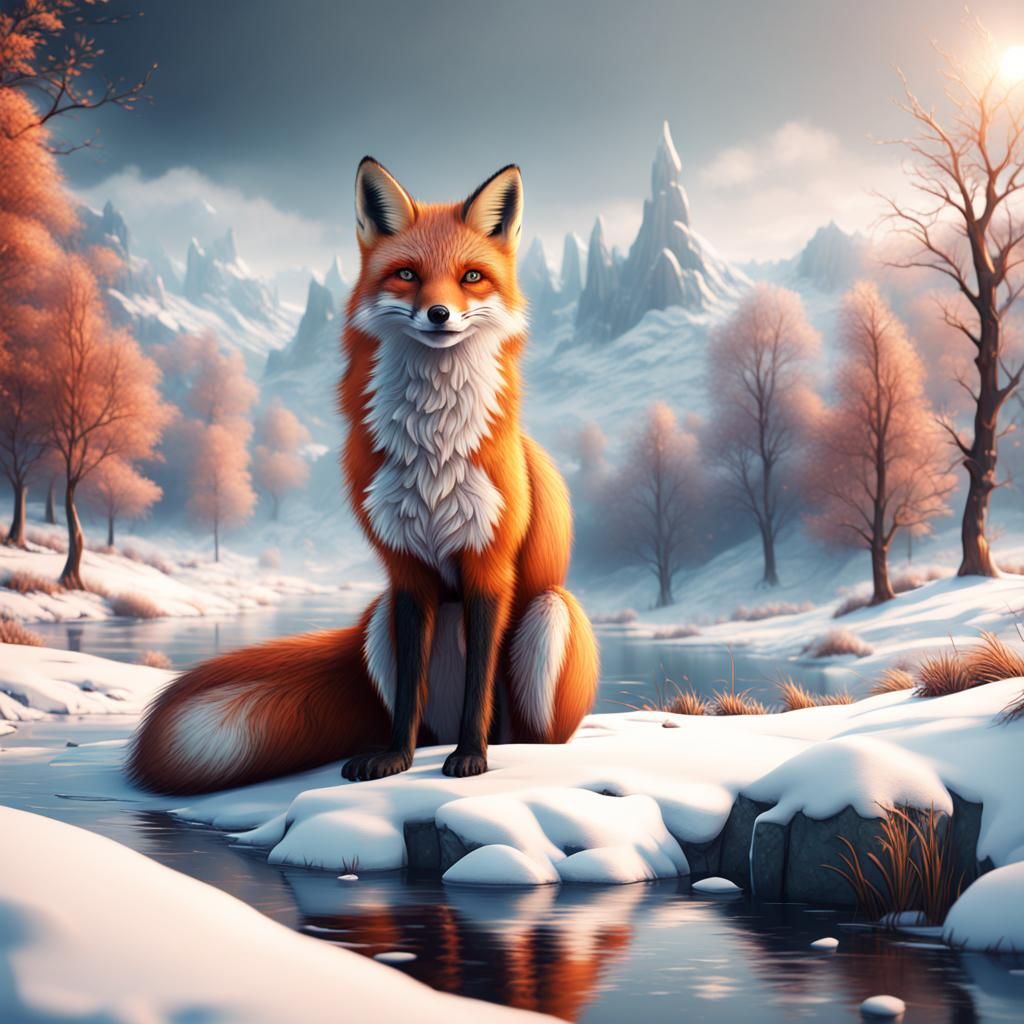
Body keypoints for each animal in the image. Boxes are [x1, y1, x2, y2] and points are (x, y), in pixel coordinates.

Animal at [128, 158, 599, 794]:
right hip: (378, 620)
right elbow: (406, 693)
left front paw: (472, 759)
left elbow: (481, 686)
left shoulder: (489, 567)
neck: (433, 452)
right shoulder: (406, 572)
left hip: (550, 610)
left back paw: (503, 749)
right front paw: (395, 759)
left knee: (526, 728)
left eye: (472, 277)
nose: (439, 314)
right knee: (419, 707)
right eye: (407, 275)